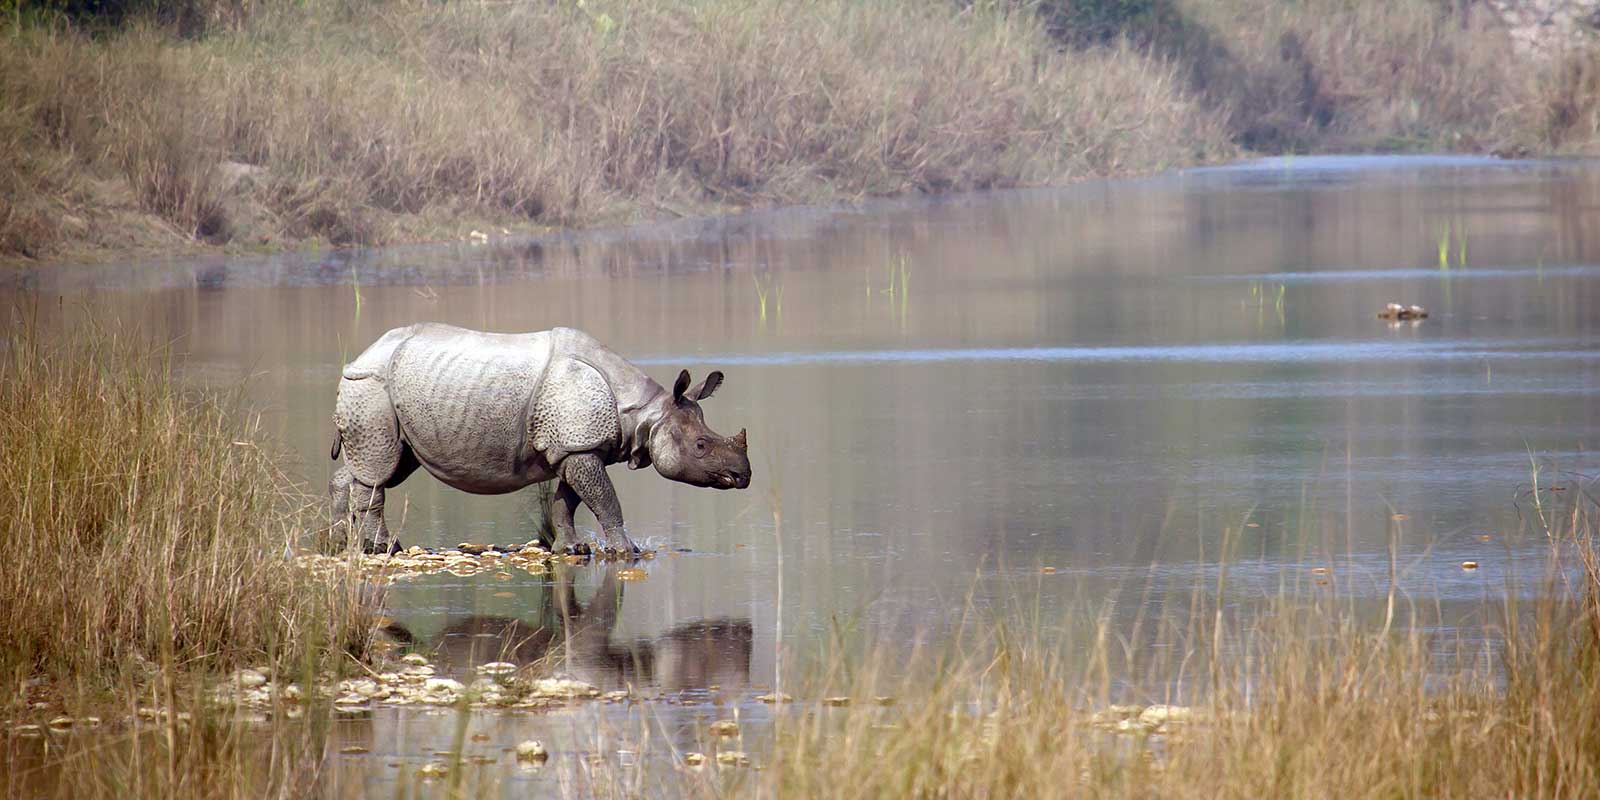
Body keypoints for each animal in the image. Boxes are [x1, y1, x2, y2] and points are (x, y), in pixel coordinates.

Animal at [328, 324, 752, 555]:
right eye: (701, 447)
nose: (743, 476)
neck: (645, 412)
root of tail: (361, 356)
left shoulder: (574, 447)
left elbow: (568, 501)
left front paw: (572, 548)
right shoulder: (579, 445)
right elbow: (605, 500)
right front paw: (625, 550)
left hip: (394, 394)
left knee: (384, 464)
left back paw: (340, 542)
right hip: (372, 387)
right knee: (378, 470)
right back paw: (386, 548)